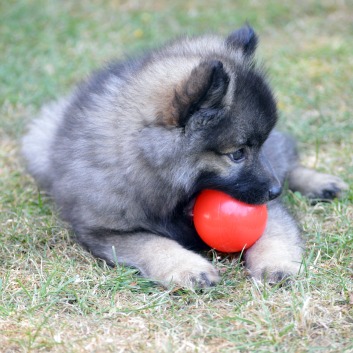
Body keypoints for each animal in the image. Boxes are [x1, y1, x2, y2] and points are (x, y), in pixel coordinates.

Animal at [20, 26, 346, 286]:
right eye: (237, 154)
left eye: (257, 146)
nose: (275, 190)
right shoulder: (106, 232)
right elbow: (153, 243)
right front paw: (188, 268)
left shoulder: (268, 206)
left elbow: (273, 235)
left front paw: (277, 265)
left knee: (288, 162)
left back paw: (320, 184)